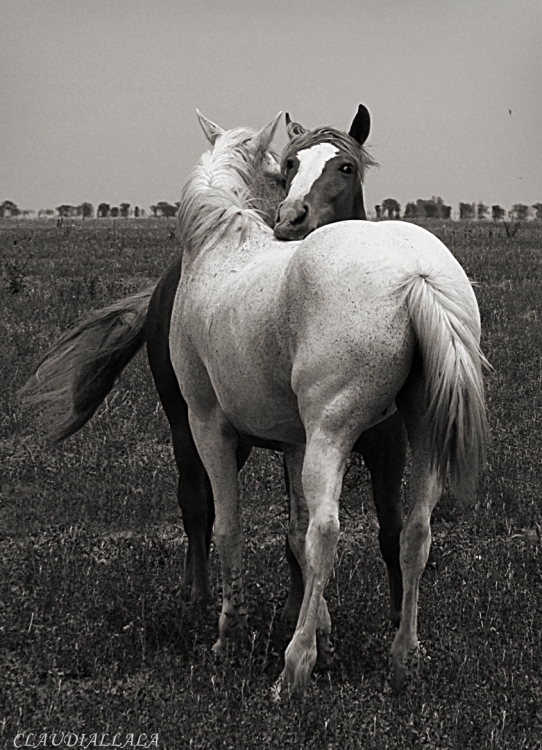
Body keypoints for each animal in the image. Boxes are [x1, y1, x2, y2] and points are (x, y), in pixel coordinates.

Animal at [169, 113, 488, 700]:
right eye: (288, 166)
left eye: (340, 167)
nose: (289, 220)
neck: (222, 246)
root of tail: (416, 274)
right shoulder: (294, 442)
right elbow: (293, 533)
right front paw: (324, 631)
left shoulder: (208, 425)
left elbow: (232, 528)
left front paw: (230, 636)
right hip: (421, 434)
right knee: (415, 532)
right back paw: (403, 657)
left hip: (332, 433)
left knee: (327, 533)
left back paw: (294, 670)